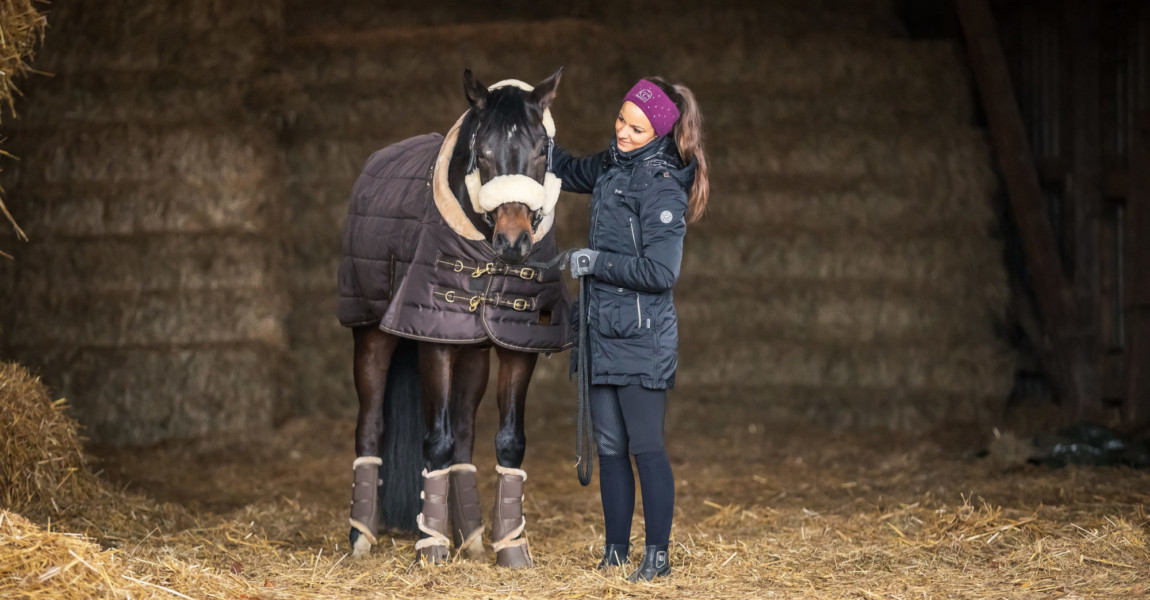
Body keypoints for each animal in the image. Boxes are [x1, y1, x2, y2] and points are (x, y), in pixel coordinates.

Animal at [335, 67, 572, 567]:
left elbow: (508, 441)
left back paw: (475, 537)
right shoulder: (436, 343)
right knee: (371, 425)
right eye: (482, 154)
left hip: (474, 353)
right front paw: (431, 548)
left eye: (542, 151)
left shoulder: (517, 347)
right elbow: (436, 441)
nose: (514, 242)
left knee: (464, 432)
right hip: (369, 333)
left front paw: (512, 549)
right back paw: (361, 537)